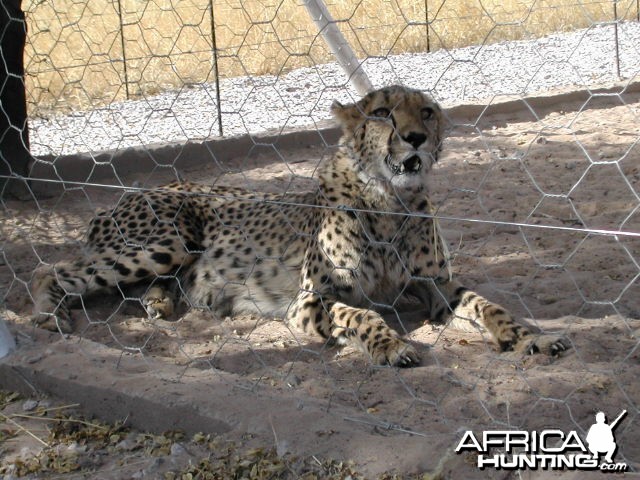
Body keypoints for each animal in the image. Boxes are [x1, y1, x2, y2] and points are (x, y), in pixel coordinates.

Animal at [31, 85, 568, 364]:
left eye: (428, 112)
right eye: (381, 113)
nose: (415, 138)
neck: (388, 202)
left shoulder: (437, 286)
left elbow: (489, 305)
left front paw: (530, 337)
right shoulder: (308, 302)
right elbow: (362, 315)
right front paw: (391, 345)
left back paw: (162, 303)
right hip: (168, 240)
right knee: (50, 270)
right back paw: (49, 317)